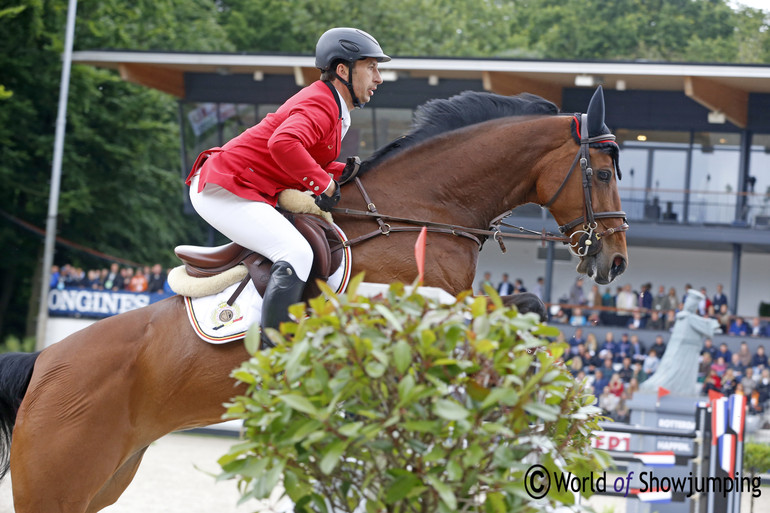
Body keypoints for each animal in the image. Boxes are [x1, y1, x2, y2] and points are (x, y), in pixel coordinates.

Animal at [0, 86, 624, 510]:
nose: (613, 261)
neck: (419, 212)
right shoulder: (412, 308)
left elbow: (528, 313)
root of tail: (43, 363)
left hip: (104, 479)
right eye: (601, 172)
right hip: (59, 482)